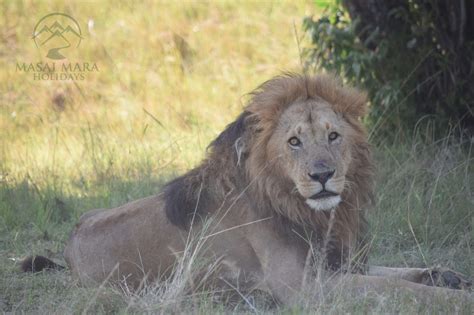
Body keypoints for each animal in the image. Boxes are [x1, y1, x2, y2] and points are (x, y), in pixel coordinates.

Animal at [25, 74, 470, 306]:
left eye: (333, 136)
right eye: (294, 142)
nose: (323, 175)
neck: (306, 210)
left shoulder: (338, 263)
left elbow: (400, 273)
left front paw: (448, 276)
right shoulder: (307, 288)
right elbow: (398, 287)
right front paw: (456, 301)